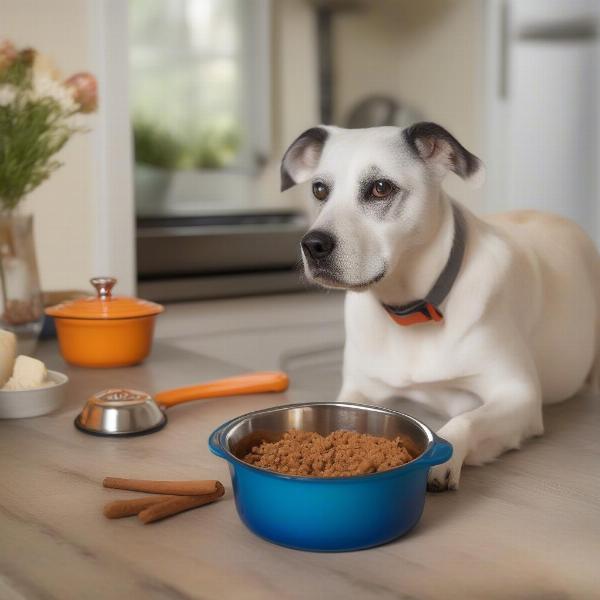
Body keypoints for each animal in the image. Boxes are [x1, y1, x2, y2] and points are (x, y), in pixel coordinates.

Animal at [282, 123, 600, 492]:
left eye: (380, 188)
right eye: (319, 189)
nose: (313, 245)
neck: (411, 309)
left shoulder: (518, 394)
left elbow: (466, 419)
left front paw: (445, 459)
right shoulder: (357, 389)